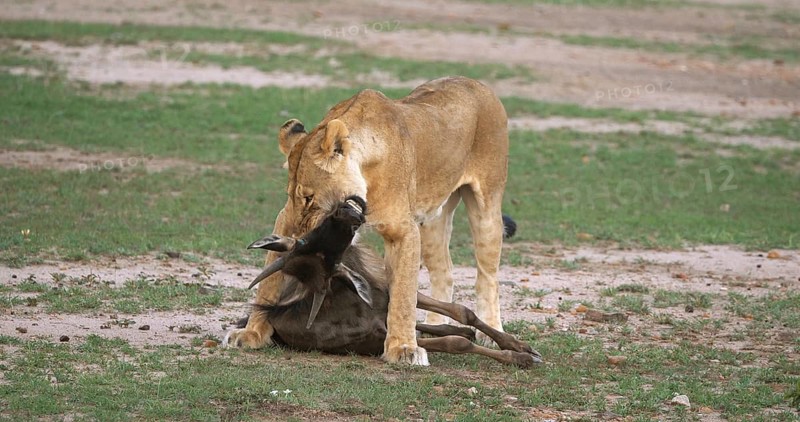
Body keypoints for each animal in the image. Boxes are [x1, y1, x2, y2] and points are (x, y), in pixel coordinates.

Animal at [225, 76, 509, 365]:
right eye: (292, 195)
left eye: (309, 197)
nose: (301, 237)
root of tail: (474, 81)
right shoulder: (286, 218)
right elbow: (269, 283)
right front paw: (252, 333)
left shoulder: (404, 230)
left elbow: (403, 294)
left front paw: (403, 348)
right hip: (432, 218)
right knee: (444, 272)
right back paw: (435, 323)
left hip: (487, 204)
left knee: (488, 275)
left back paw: (491, 331)